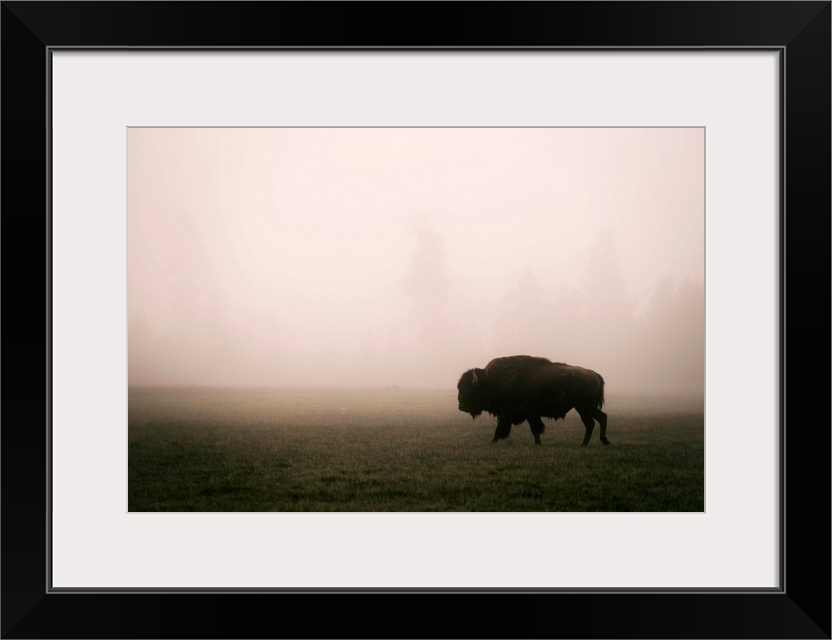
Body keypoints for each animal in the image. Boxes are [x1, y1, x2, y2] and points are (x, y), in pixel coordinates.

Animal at [458, 358, 608, 448]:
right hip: (589, 408)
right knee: (602, 418)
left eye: (467, 389)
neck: (488, 381)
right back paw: (603, 441)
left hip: (583, 408)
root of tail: (595, 374)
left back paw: (584, 444)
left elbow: (507, 428)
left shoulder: (517, 413)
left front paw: (493, 441)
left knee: (590, 423)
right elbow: (533, 429)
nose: (460, 406)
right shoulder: (525, 415)